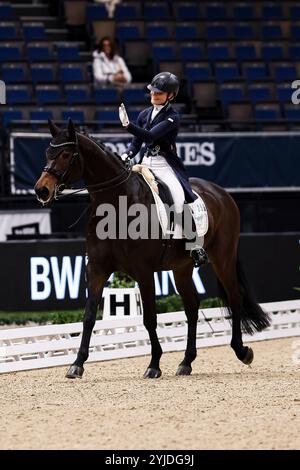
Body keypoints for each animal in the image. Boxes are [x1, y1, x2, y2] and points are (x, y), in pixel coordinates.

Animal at [34, 119, 270, 380]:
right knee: (192, 307)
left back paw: (242, 351)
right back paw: (186, 362)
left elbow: (149, 318)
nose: (41, 190)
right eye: (47, 153)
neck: (117, 202)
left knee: (234, 297)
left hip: (223, 257)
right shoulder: (96, 269)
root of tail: (222, 193)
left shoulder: (144, 272)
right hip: (182, 268)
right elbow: (88, 317)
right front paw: (77, 365)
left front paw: (154, 364)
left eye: (66, 154)